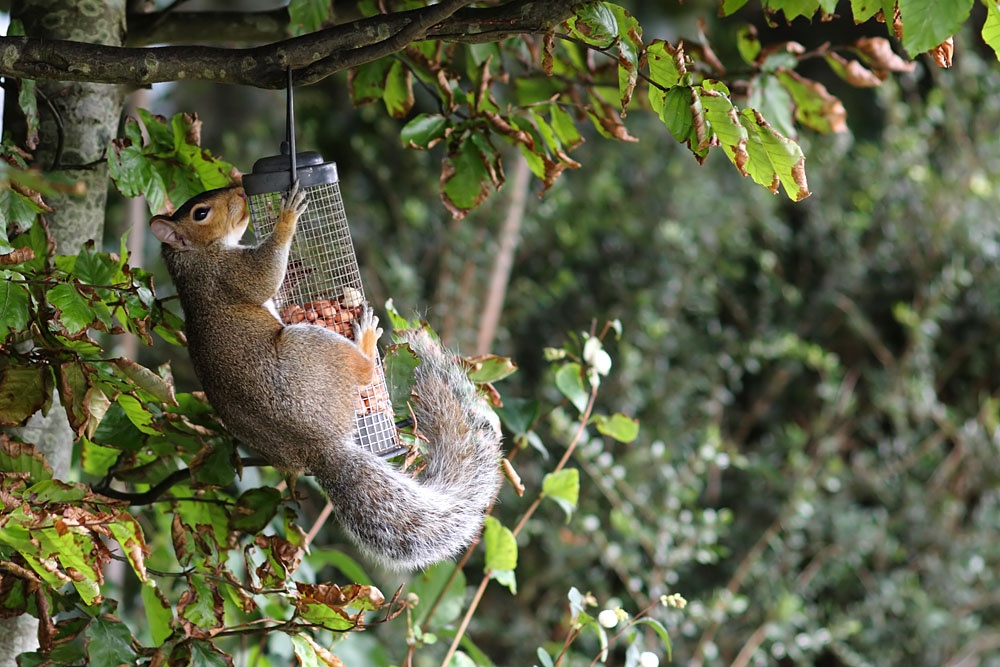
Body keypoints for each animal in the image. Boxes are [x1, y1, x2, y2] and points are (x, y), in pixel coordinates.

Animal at [149, 183, 503, 570]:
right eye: (201, 213)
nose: (240, 188)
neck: (191, 260)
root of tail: (318, 447)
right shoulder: (226, 274)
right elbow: (264, 276)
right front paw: (286, 217)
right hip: (309, 346)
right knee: (361, 370)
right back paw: (366, 338)